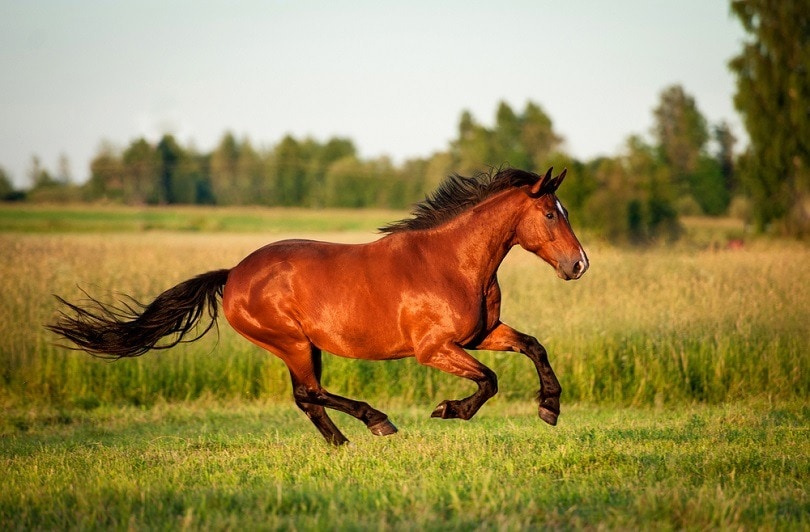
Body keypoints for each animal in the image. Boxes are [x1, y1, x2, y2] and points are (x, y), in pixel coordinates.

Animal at [50, 167, 588, 444]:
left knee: (307, 397)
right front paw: (450, 410)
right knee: (310, 393)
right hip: (291, 342)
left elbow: (534, 347)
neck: (451, 262)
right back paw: (375, 423)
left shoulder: (480, 336)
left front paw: (550, 408)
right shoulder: (434, 348)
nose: (579, 264)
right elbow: (489, 381)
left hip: (303, 346)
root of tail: (232, 275)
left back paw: (343, 442)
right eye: (549, 214)